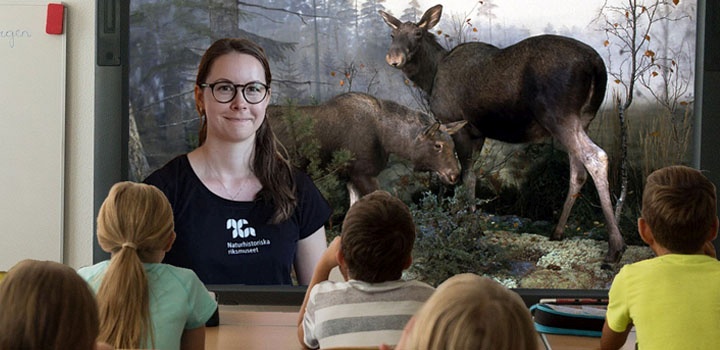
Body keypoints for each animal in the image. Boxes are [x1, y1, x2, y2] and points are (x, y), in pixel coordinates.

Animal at [268, 91, 466, 204]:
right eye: (438, 145)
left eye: (453, 145)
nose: (455, 174)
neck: (387, 139)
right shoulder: (362, 173)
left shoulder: (350, 177)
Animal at [376, 4, 624, 264]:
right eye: (392, 35)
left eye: (418, 34)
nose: (394, 58)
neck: (430, 78)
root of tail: (596, 66)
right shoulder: (478, 133)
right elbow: (468, 175)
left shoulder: (457, 124)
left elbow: (464, 176)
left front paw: (469, 225)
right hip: (584, 118)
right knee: (578, 171)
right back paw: (558, 231)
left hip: (560, 116)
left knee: (596, 157)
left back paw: (615, 246)